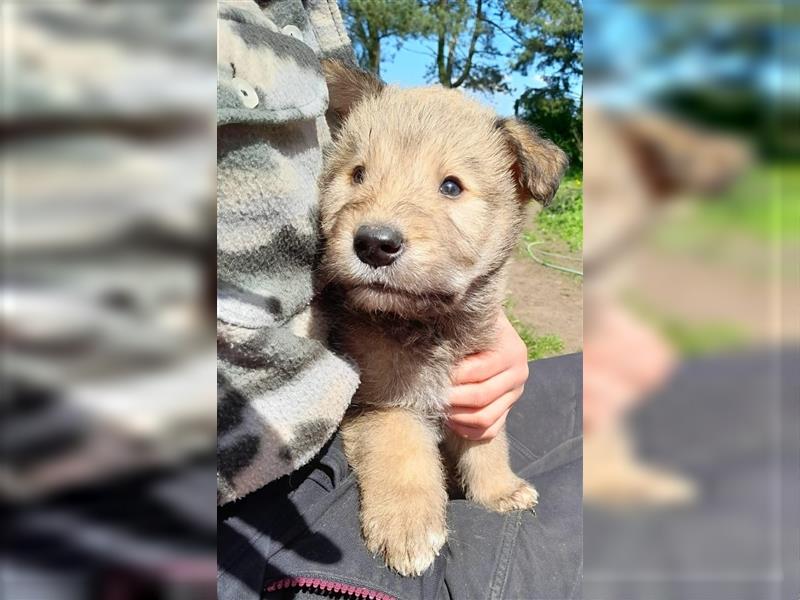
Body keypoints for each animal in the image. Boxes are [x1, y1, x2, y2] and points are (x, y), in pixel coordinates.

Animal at [318, 61, 568, 576]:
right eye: (358, 174)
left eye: (451, 186)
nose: (374, 243)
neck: (432, 325)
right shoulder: (382, 403)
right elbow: (403, 454)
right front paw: (407, 528)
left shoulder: (480, 399)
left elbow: (489, 448)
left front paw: (499, 490)